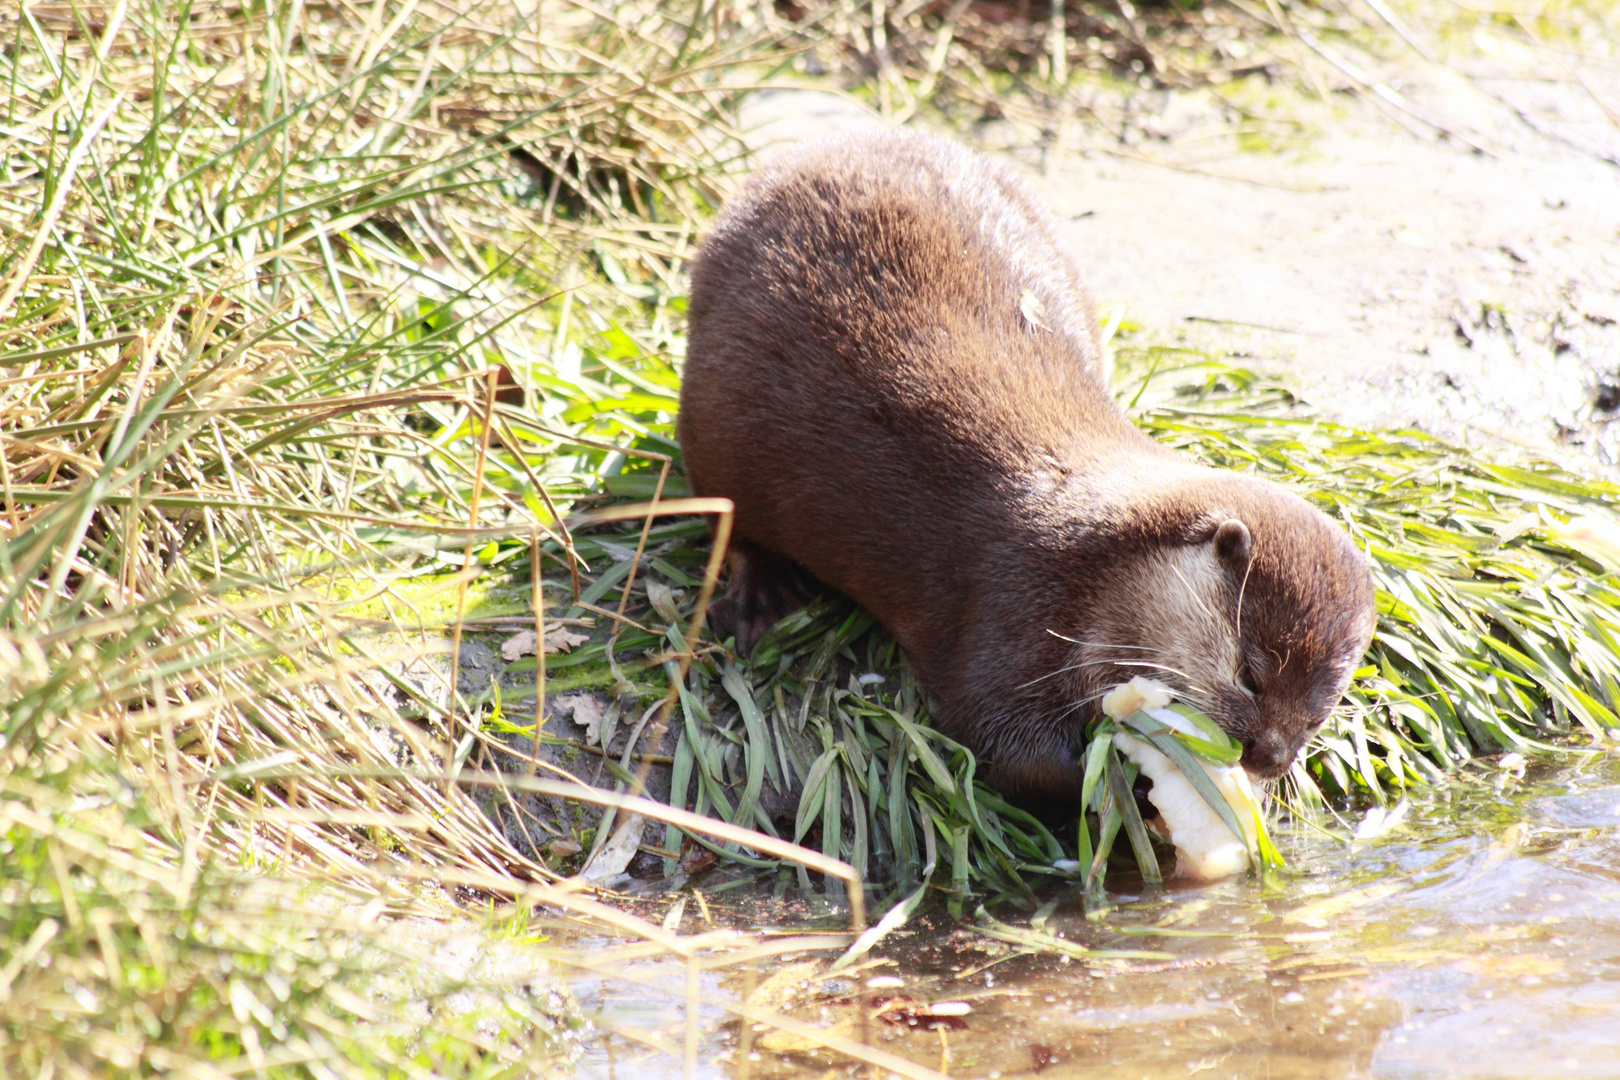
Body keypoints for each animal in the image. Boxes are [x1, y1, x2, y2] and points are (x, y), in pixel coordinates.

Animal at [677, 128, 1373, 809]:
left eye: (1321, 712)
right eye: (1250, 674)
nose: (1268, 757)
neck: (1096, 568)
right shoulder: (1012, 598)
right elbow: (1003, 745)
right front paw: (1129, 784)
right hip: (714, 423)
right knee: (723, 513)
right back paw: (760, 596)